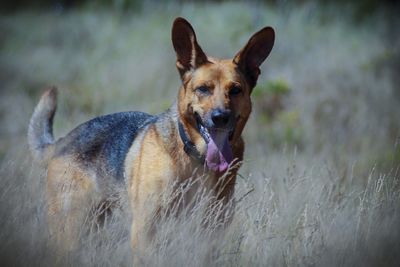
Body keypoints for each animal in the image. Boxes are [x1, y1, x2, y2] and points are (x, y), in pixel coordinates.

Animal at [28, 17, 276, 258]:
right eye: (203, 89)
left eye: (235, 90)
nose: (220, 118)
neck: (196, 158)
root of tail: (63, 141)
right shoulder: (145, 232)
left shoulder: (210, 235)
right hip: (71, 230)